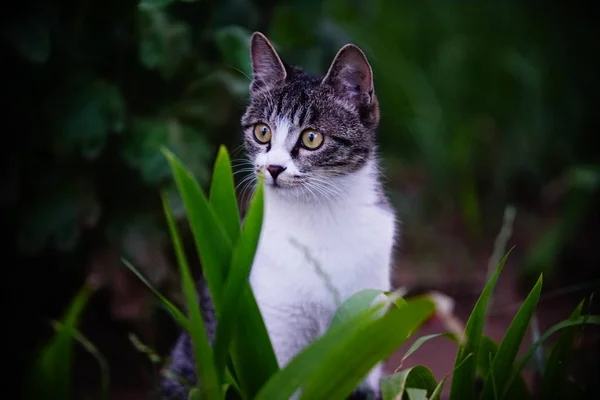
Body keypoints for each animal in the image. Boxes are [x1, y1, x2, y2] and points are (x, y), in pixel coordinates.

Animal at [159, 32, 398, 400]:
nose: (273, 168)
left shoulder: (364, 323)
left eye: (311, 138)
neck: (318, 215)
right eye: (262, 132)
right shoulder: (276, 330)